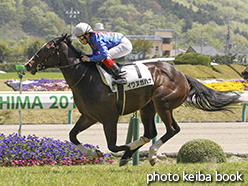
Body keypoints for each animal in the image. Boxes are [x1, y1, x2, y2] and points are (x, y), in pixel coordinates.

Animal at [24, 34, 238, 166]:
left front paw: (125, 150)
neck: (86, 78)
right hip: (148, 107)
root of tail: (182, 75)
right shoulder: (89, 116)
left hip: (163, 104)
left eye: (47, 48)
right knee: (151, 131)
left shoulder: (109, 117)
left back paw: (150, 154)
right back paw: (142, 153)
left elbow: (113, 145)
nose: (28, 65)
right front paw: (95, 153)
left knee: (171, 129)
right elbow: (72, 136)